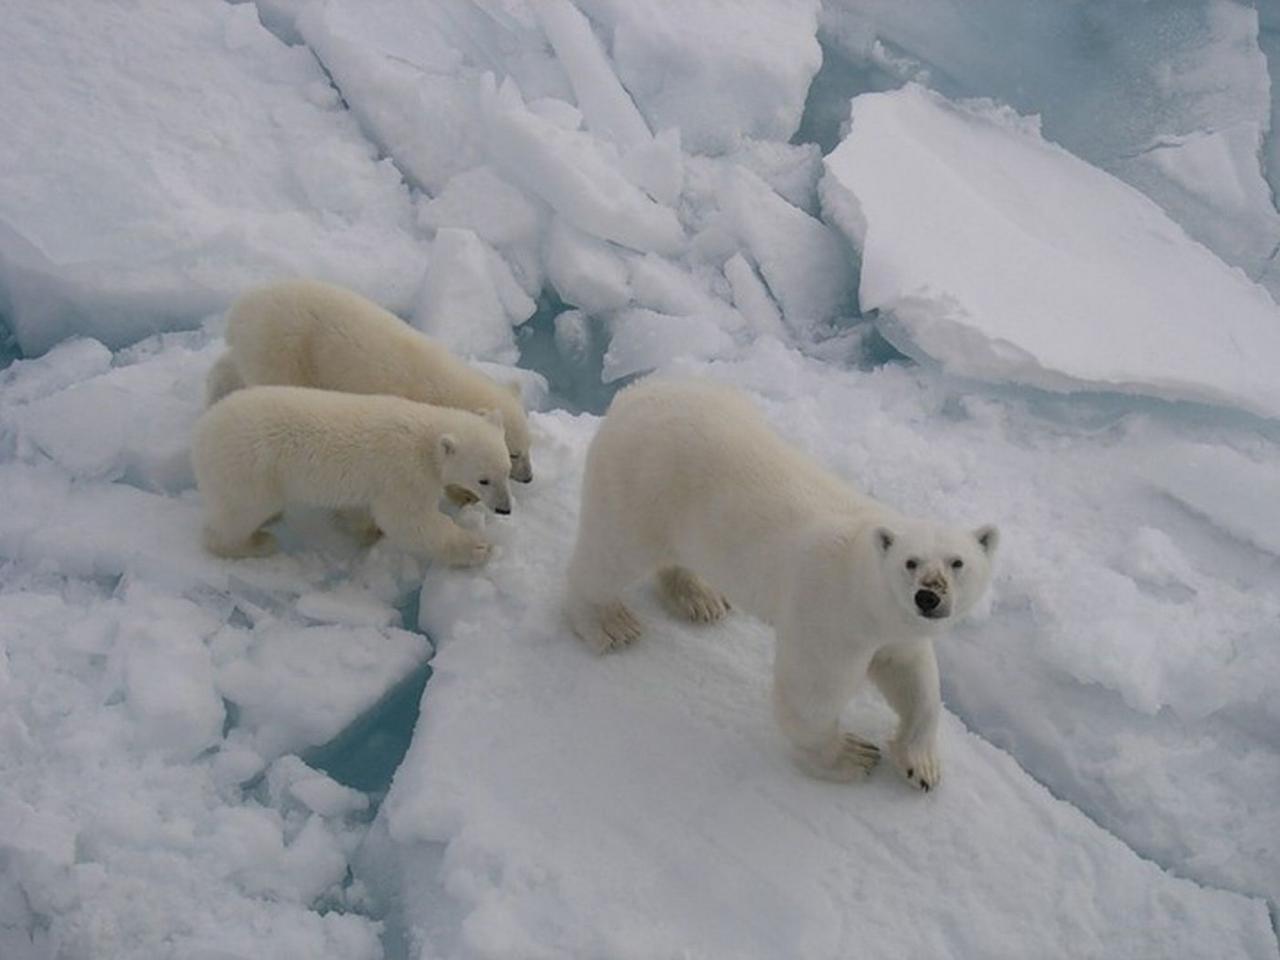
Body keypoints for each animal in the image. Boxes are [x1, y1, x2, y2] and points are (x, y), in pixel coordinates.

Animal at [206, 281, 535, 483]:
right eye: (514, 453)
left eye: (528, 446)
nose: (528, 477)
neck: (445, 384)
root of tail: (240, 310)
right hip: (285, 349)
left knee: (229, 367)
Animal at [563, 378, 998, 793]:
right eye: (911, 562)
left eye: (957, 562)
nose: (929, 597)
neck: (861, 579)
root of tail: (632, 394)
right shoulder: (830, 617)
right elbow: (810, 695)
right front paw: (852, 755)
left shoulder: (896, 629)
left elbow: (914, 679)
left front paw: (921, 765)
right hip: (643, 487)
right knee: (611, 555)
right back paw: (609, 623)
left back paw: (701, 598)